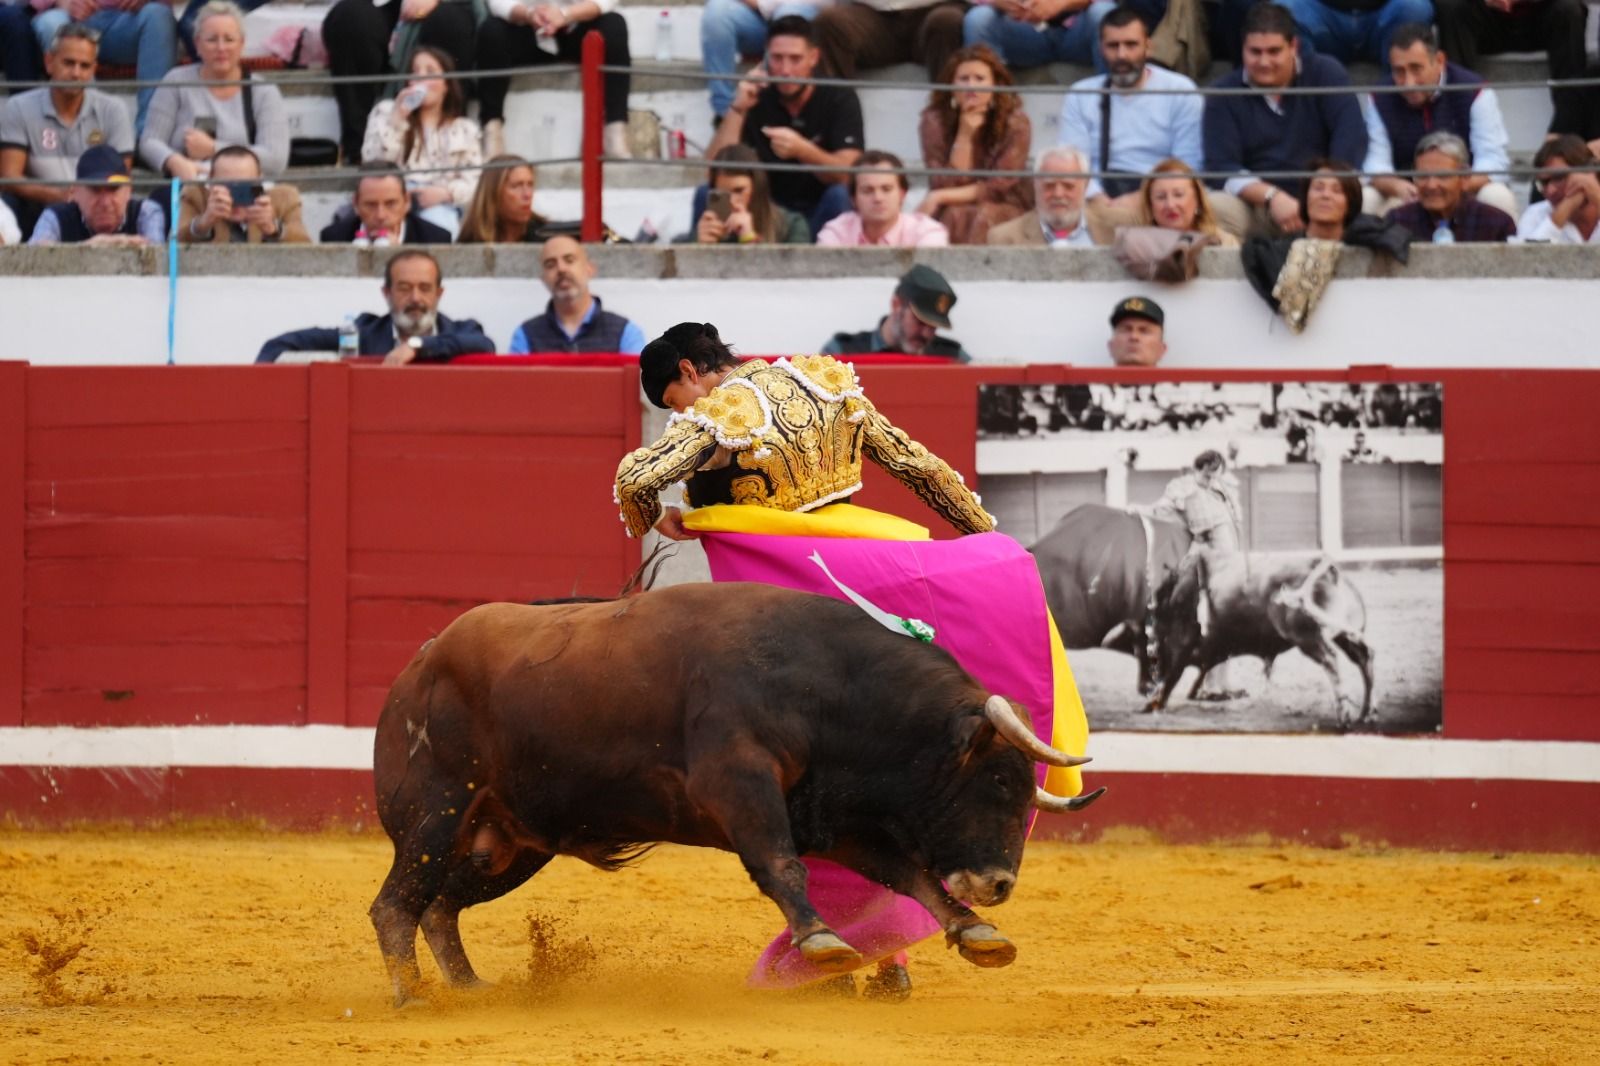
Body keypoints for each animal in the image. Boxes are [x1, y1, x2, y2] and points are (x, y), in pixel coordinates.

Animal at [371, 576, 1100, 998]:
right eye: (997, 778)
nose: (999, 884)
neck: (829, 686)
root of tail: (419, 661)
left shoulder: (836, 821)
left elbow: (910, 875)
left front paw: (978, 932)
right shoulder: (739, 783)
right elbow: (780, 864)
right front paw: (823, 943)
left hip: (514, 843)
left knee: (439, 905)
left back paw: (470, 988)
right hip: (436, 811)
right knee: (395, 906)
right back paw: (416, 998)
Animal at [1145, 557, 1382, 723]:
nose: (1152, 656)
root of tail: (1328, 571)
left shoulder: (1181, 643)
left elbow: (1172, 676)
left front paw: (1154, 705)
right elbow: (1192, 675)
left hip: (1309, 637)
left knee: (1331, 659)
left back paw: (1345, 715)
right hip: (1344, 633)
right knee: (1365, 657)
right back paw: (1367, 713)